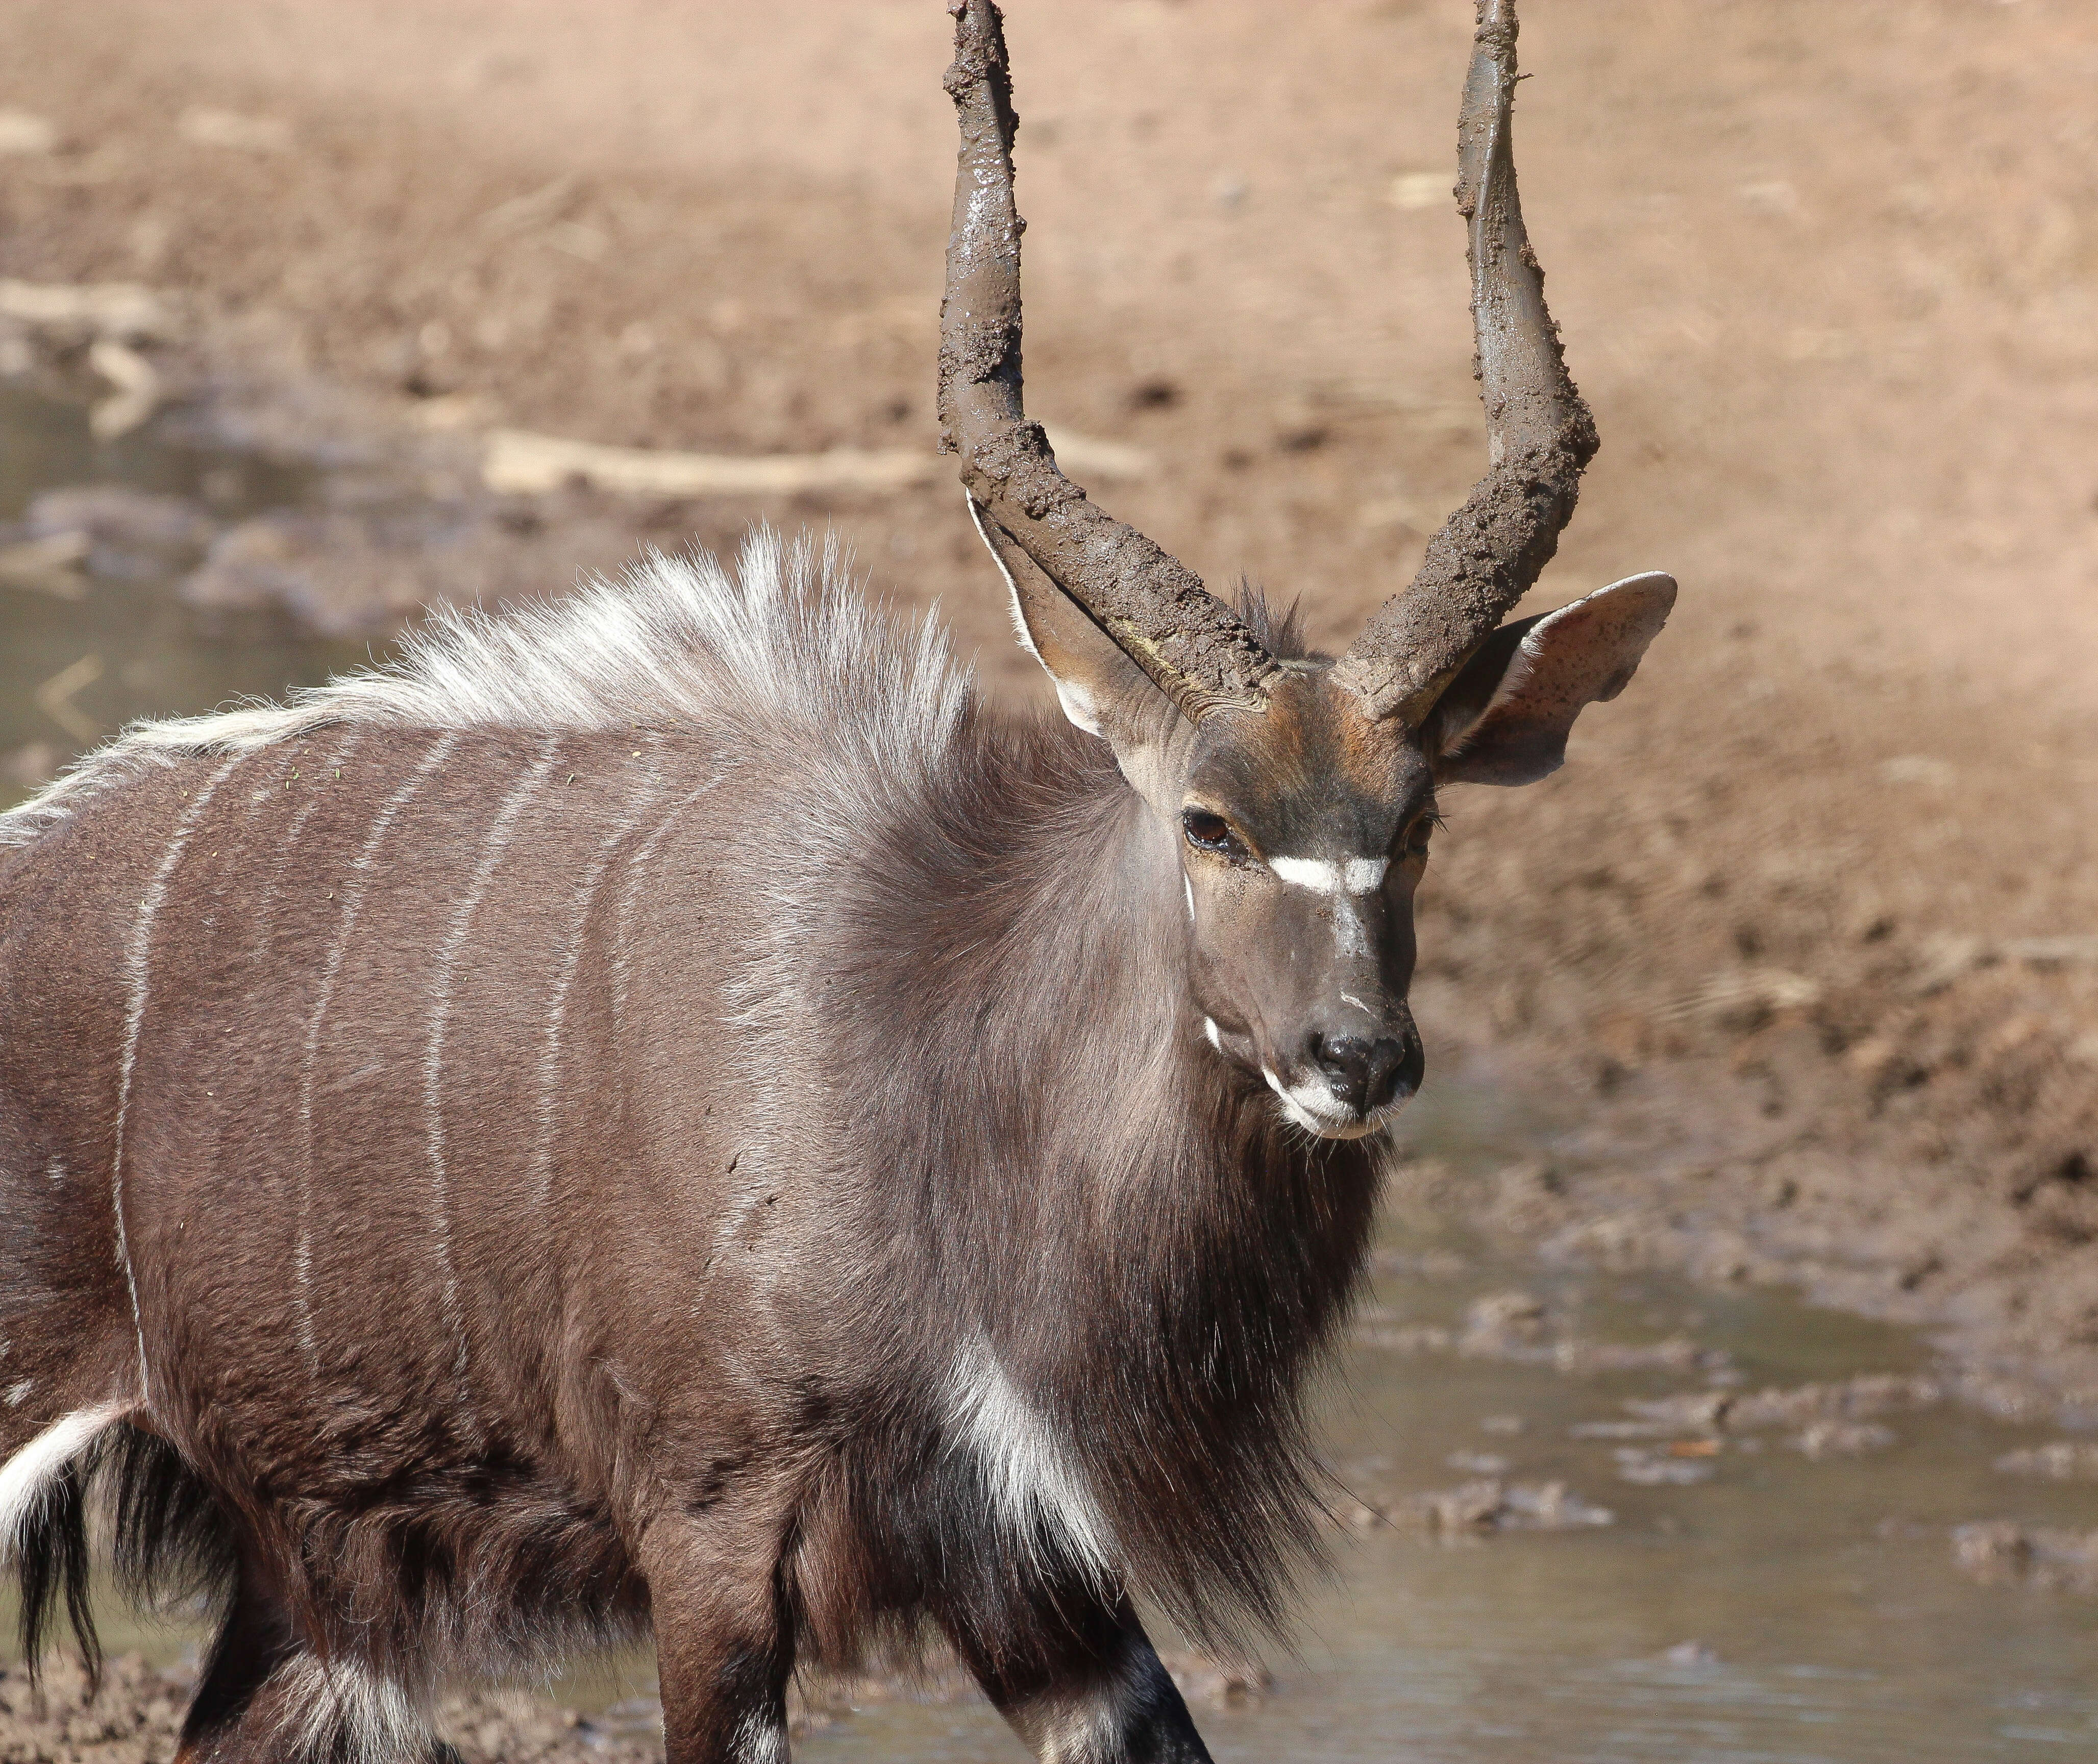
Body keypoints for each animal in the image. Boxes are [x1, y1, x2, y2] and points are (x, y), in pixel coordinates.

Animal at [0, 3, 1670, 1761]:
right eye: (1208, 822)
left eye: (1414, 822)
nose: (1354, 1055)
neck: (912, 1024)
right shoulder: (713, 1527)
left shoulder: (1031, 1577)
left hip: (313, 1594)